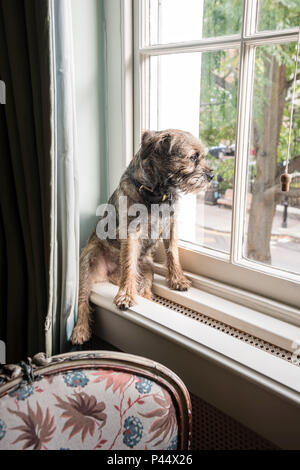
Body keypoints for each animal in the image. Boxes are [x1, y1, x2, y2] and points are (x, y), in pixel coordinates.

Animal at [69, 129, 213, 346]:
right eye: (193, 157)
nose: (212, 175)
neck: (157, 191)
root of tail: (111, 274)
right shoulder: (131, 233)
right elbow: (129, 263)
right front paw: (125, 296)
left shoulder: (171, 225)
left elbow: (173, 252)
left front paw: (177, 279)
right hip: (88, 262)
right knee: (83, 299)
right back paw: (80, 329)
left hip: (147, 268)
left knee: (144, 290)